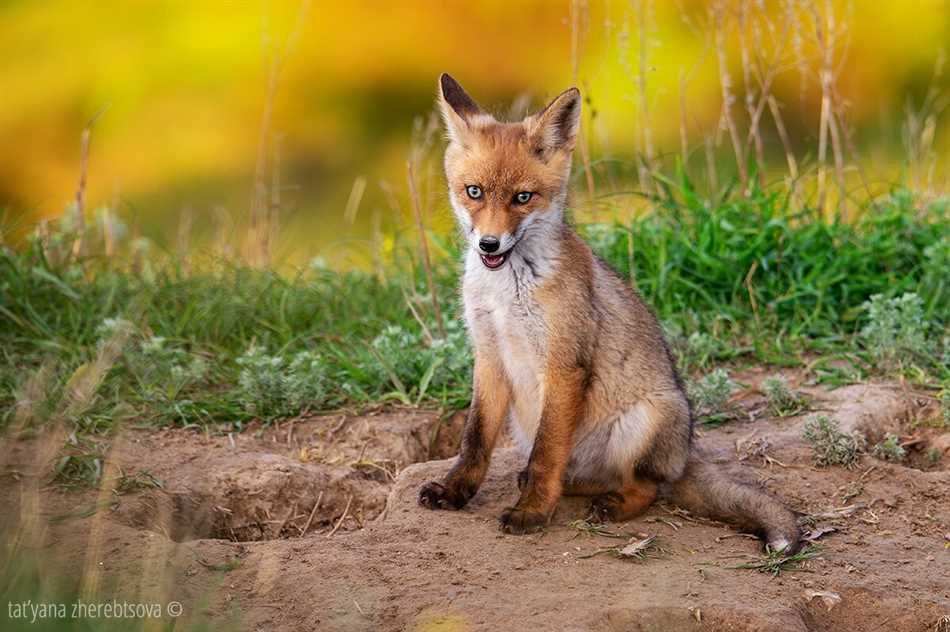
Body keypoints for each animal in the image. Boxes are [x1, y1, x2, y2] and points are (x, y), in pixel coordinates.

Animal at [418, 71, 804, 552]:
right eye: (474, 192)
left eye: (523, 197)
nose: (489, 244)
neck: (506, 294)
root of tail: (684, 453)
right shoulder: (489, 355)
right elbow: (474, 442)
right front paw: (456, 491)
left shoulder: (565, 363)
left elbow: (547, 454)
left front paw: (532, 512)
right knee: (579, 475)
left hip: (642, 424)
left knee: (643, 485)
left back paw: (613, 505)